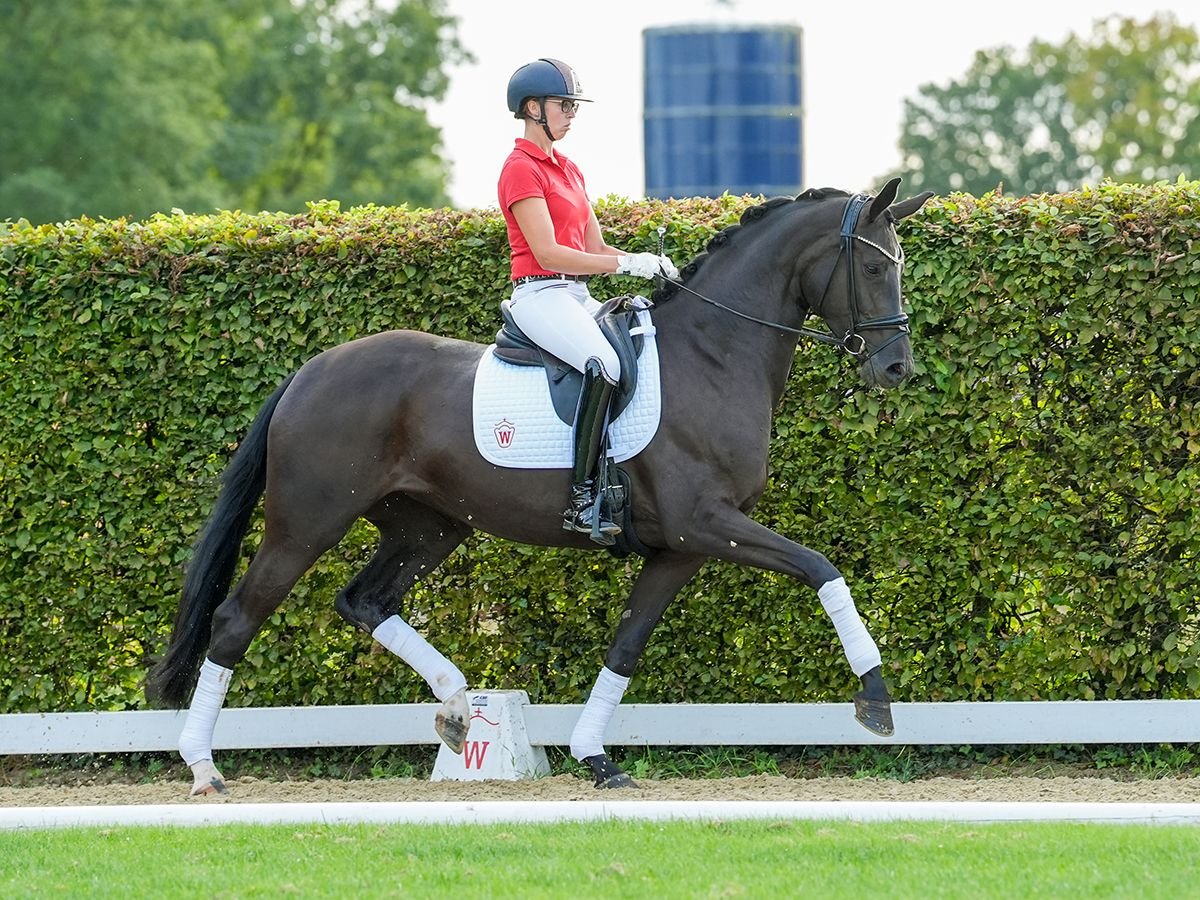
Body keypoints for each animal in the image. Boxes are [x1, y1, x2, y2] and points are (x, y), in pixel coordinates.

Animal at [150, 177, 931, 796]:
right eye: (870, 265)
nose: (897, 368)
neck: (714, 354)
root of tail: (311, 371)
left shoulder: (680, 546)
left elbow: (626, 646)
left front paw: (595, 758)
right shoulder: (704, 522)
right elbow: (822, 568)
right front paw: (876, 700)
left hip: (429, 526)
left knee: (365, 600)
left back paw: (457, 707)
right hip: (307, 521)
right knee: (236, 620)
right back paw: (203, 768)